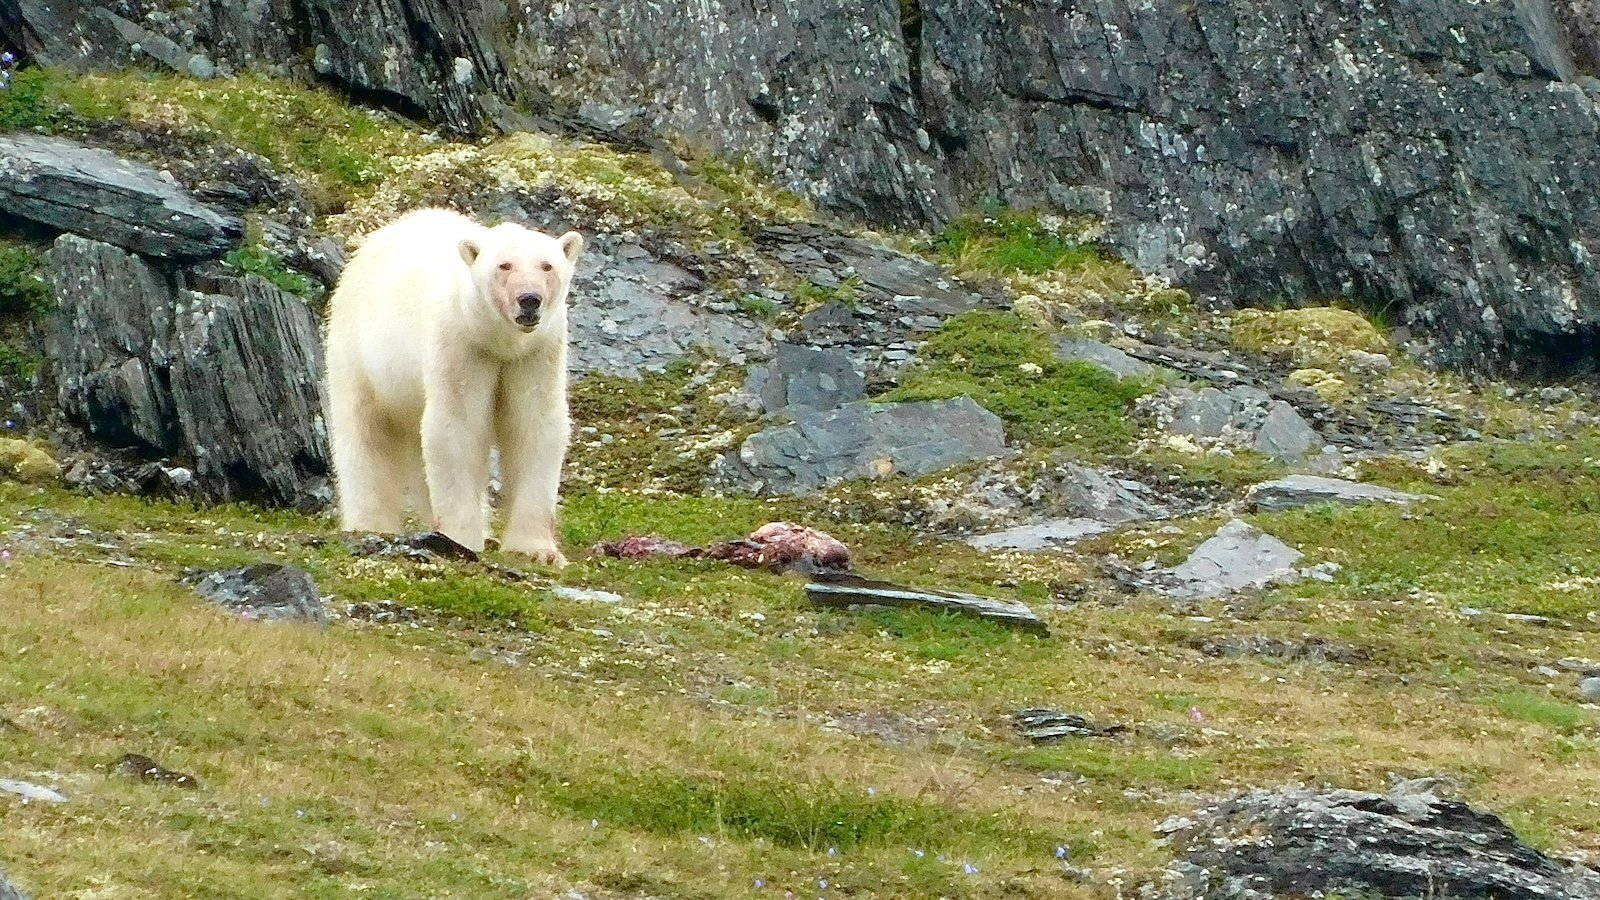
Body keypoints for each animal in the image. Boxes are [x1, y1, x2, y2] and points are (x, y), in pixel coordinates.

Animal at [322, 207, 585, 566]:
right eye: (504, 266)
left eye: (547, 266)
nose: (529, 300)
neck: (498, 342)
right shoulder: (460, 343)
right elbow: (457, 425)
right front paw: (462, 538)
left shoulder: (536, 353)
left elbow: (534, 425)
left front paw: (537, 550)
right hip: (359, 352)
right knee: (364, 432)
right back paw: (371, 524)